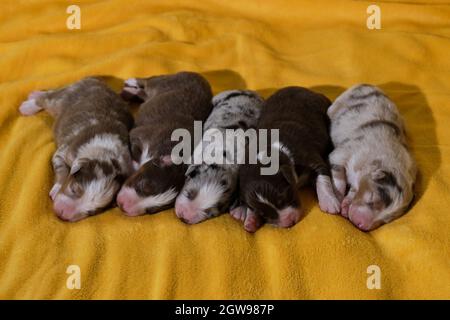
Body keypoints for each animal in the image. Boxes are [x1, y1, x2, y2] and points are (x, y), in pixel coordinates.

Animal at [18, 78, 134, 222]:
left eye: (91, 212)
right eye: (74, 189)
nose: (62, 214)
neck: (105, 151)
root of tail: (94, 80)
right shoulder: (65, 151)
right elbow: (62, 168)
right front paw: (57, 188)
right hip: (63, 98)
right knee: (47, 98)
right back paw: (29, 104)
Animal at [116, 70, 214, 215]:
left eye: (151, 210)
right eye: (143, 185)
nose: (123, 207)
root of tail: (198, 75)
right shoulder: (140, 136)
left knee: (143, 93)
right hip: (164, 81)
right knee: (148, 81)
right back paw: (131, 82)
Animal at [173, 89, 264, 225]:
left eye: (211, 214)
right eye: (189, 193)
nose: (184, 218)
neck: (225, 158)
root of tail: (250, 92)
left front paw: (241, 211)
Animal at [230, 86, 340, 232]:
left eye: (284, 197)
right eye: (263, 214)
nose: (289, 223)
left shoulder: (309, 156)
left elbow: (323, 178)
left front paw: (329, 203)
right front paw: (251, 220)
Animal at [326, 84, 418, 231]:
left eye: (386, 220)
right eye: (371, 198)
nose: (362, 225)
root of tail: (366, 84)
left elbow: (353, 190)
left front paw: (346, 204)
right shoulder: (343, 153)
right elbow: (338, 177)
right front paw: (339, 196)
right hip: (337, 105)